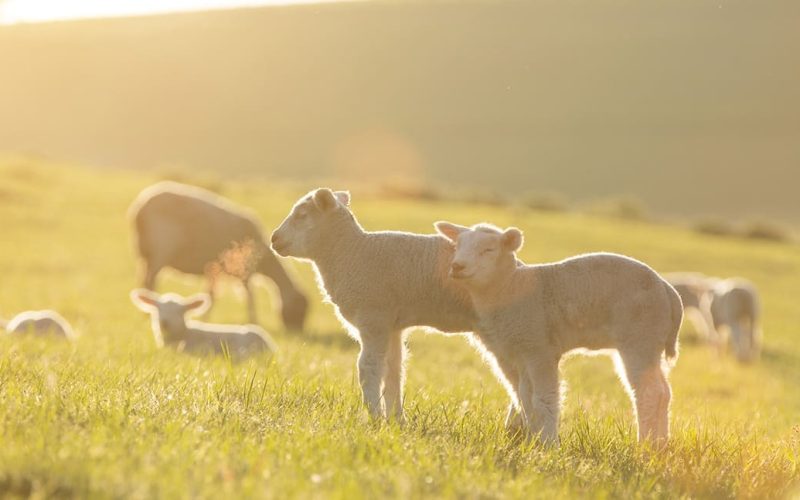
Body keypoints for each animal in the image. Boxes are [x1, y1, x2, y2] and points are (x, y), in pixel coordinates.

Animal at [129, 181, 309, 331]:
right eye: (299, 310)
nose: (296, 331)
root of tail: (139, 210)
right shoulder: (244, 270)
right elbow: (249, 297)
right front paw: (253, 321)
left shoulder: (213, 269)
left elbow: (211, 295)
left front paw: (204, 319)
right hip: (160, 249)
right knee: (150, 282)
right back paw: (147, 315)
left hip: (145, 255)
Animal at [270, 188, 475, 421]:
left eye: (302, 215)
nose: (274, 238)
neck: (352, 254)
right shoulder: (393, 325)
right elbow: (394, 369)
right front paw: (395, 419)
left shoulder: (374, 316)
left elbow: (368, 368)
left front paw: (374, 416)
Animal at [434, 221, 683, 446]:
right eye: (457, 246)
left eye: (488, 250)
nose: (457, 266)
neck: (511, 287)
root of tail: (668, 291)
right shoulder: (519, 351)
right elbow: (525, 396)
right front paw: (532, 439)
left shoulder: (539, 348)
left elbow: (544, 398)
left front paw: (548, 444)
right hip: (650, 341)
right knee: (664, 392)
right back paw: (661, 444)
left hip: (640, 337)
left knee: (649, 392)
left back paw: (646, 445)